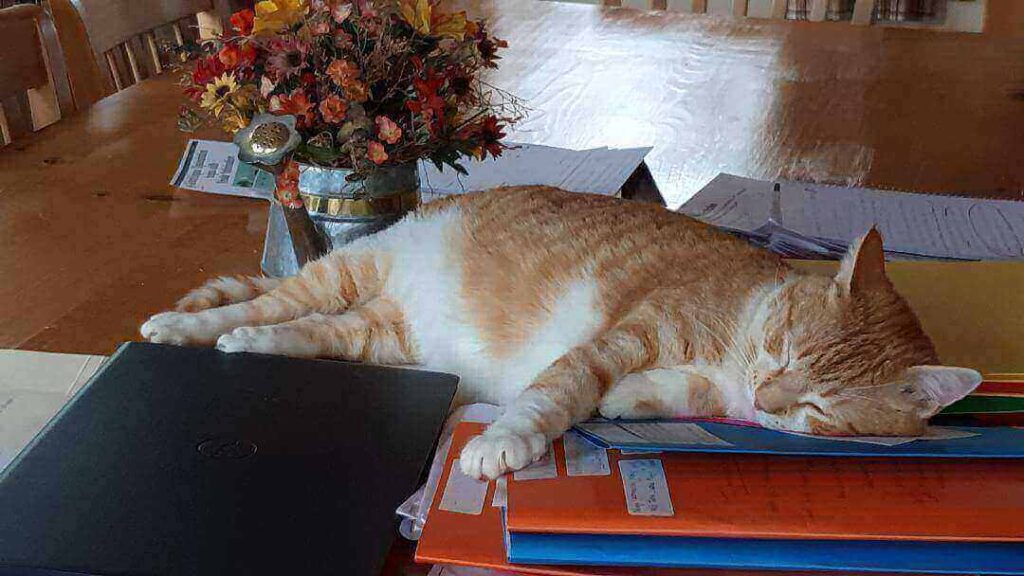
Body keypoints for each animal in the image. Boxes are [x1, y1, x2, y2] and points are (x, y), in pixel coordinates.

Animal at [140, 183, 978, 475]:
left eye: (818, 407)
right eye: (784, 349)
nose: (769, 397)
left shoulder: (710, 389)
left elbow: (665, 398)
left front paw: (631, 402)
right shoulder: (622, 338)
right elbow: (555, 392)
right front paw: (505, 441)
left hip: (379, 337)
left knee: (309, 333)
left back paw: (251, 347)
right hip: (349, 272)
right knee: (265, 303)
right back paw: (185, 325)